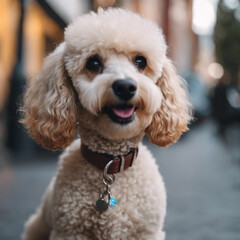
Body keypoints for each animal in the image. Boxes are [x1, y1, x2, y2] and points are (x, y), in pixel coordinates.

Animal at [21, 3, 191, 240]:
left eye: (141, 61)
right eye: (93, 62)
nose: (125, 86)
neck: (111, 165)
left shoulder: (147, 231)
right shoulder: (70, 231)